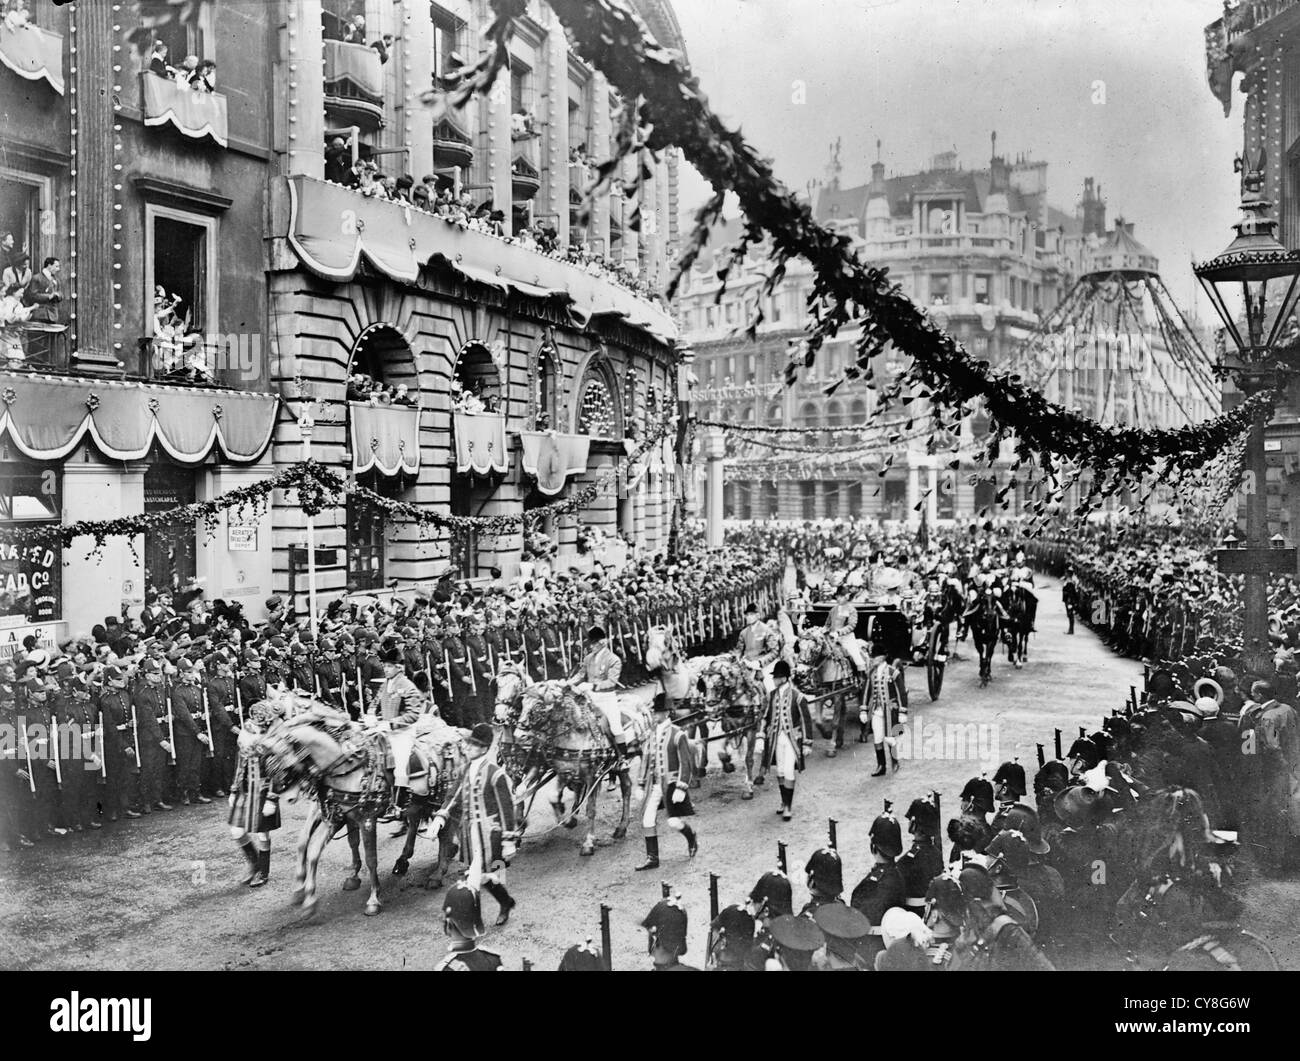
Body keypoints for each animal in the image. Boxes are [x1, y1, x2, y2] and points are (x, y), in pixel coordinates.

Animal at [253, 702, 392, 915]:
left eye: (283, 767)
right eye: (267, 769)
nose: (287, 799)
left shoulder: (365, 818)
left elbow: (371, 857)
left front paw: (374, 898)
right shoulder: (331, 813)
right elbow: (308, 844)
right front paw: (302, 890)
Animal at [491, 665, 639, 858]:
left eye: (517, 686)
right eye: (497, 684)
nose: (500, 716)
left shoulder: (542, 767)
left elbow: (589, 807)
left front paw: (587, 841)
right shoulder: (520, 771)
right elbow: (522, 795)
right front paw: (518, 830)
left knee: (625, 787)